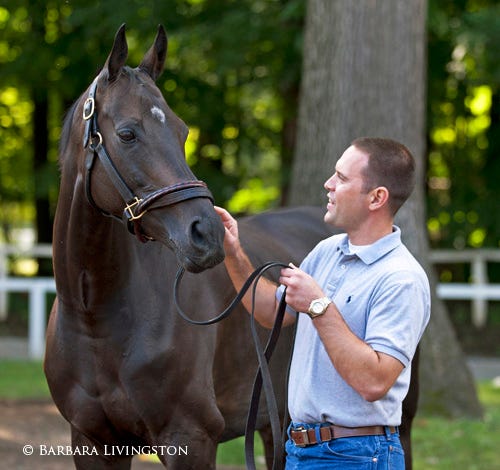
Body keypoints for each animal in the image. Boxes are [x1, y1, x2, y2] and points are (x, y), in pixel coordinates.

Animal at [45, 23, 418, 468]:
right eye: (127, 134)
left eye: (183, 132)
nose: (206, 233)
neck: (96, 317)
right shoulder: (93, 442)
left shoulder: (190, 438)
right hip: (277, 424)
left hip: (399, 422)